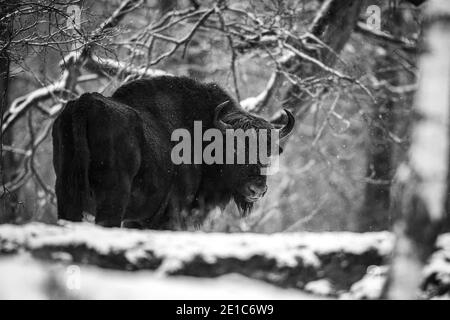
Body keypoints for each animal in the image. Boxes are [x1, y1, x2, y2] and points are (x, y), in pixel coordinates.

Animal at [52, 76, 294, 229]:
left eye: (269, 151)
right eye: (234, 148)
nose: (257, 189)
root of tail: (85, 104)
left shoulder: (138, 220)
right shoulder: (172, 217)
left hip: (66, 198)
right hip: (111, 202)